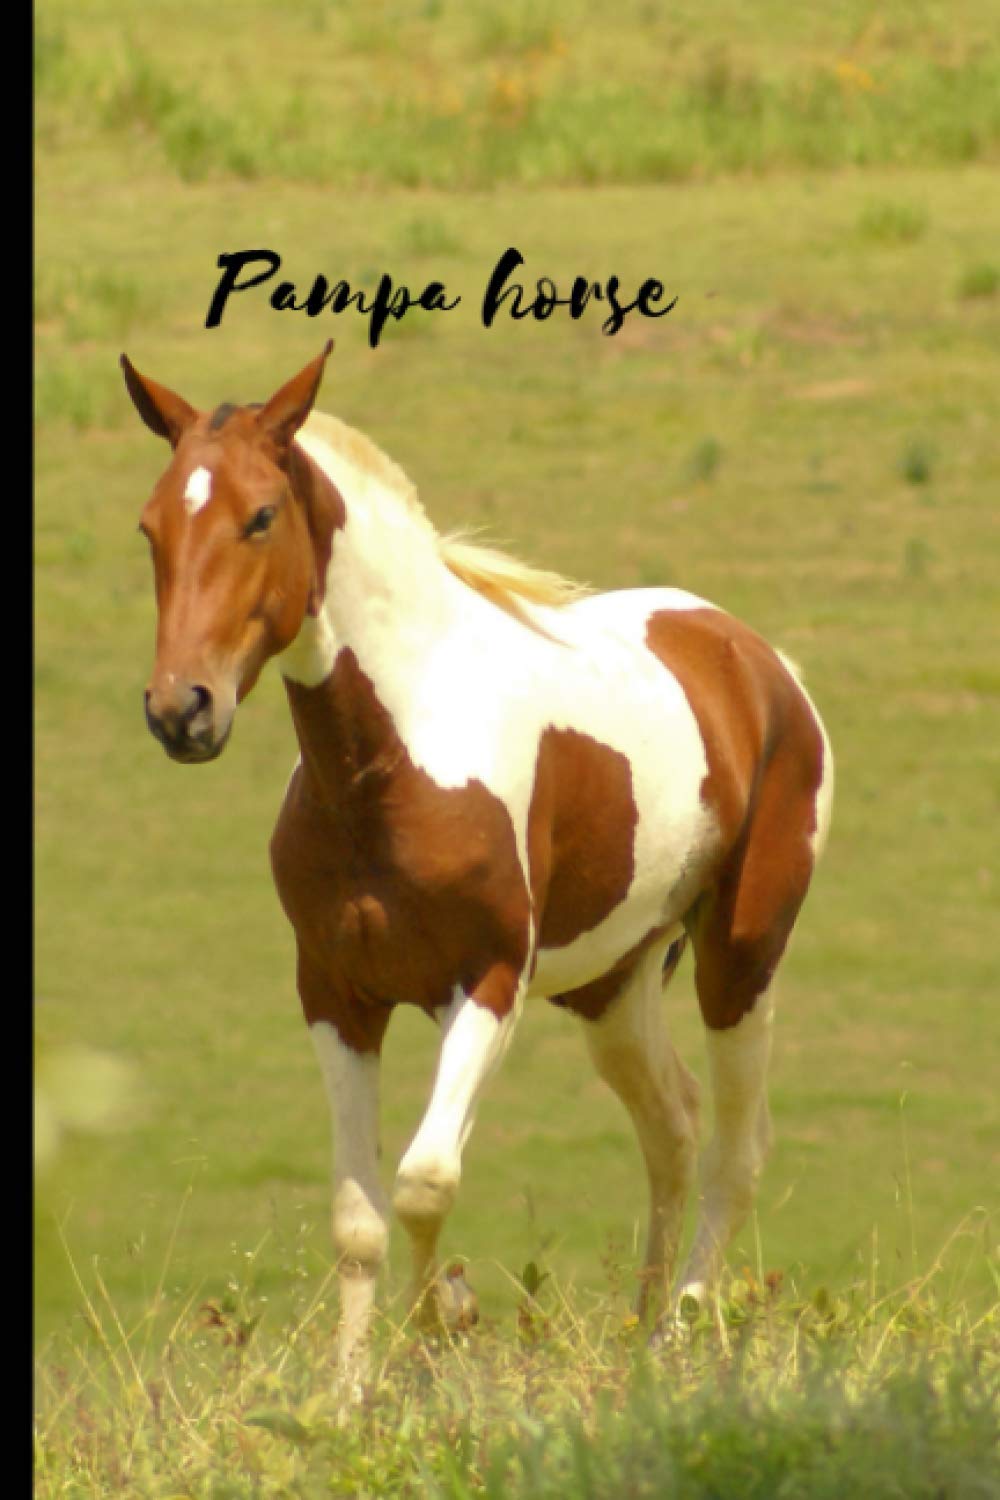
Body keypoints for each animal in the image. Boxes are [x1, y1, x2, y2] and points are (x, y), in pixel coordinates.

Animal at [121, 341, 833, 1386]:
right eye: (153, 524)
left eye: (260, 515)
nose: (182, 711)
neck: (393, 760)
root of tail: (760, 662)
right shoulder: (335, 994)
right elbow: (358, 1220)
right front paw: (352, 1399)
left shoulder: (489, 983)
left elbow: (424, 1182)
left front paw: (441, 1333)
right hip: (613, 986)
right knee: (672, 1128)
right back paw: (643, 1344)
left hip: (741, 957)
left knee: (736, 1152)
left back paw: (684, 1335)